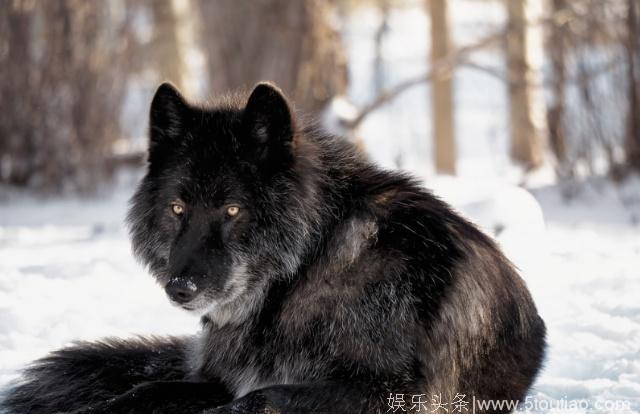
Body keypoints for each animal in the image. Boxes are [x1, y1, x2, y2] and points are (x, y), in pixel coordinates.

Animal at [2, 82, 548, 412]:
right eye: (178, 208)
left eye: (232, 210)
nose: (180, 288)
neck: (299, 275)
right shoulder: (216, 377)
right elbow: (142, 390)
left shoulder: (393, 393)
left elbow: (254, 400)